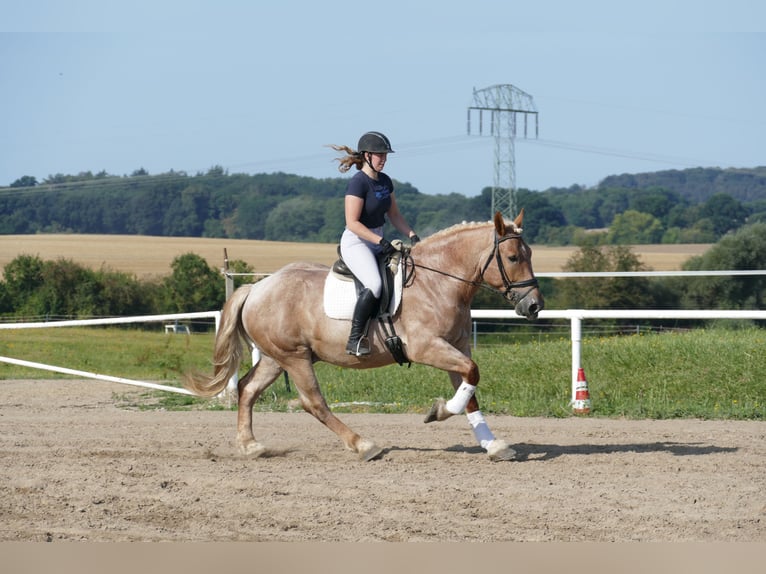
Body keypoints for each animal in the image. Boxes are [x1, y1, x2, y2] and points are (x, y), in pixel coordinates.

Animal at [184, 212, 544, 464]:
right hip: (294, 357)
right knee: (313, 402)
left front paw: (493, 445)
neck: (438, 282)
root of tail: (256, 287)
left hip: (275, 357)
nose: (534, 305)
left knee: (247, 389)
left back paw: (251, 446)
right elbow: (472, 374)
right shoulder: (428, 348)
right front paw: (438, 411)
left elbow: (469, 389)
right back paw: (363, 445)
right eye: (513, 258)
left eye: (529, 254)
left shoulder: (455, 346)